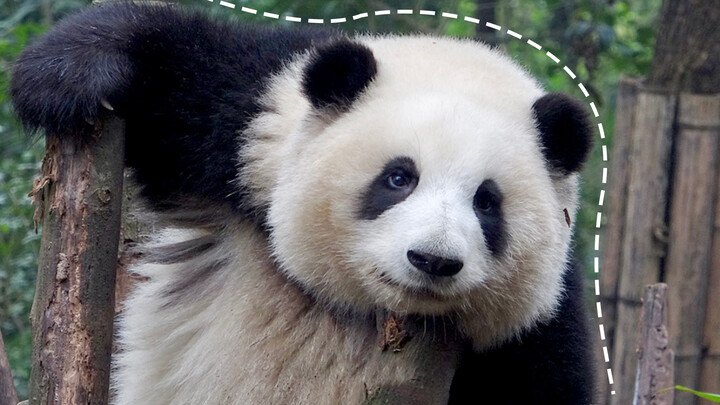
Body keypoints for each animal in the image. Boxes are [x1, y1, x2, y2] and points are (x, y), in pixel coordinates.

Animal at [11, 1, 596, 402]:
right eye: (399, 177)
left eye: (487, 203)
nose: (432, 260)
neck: (367, 314)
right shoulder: (251, 130)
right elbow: (180, 68)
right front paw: (72, 75)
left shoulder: (533, 333)